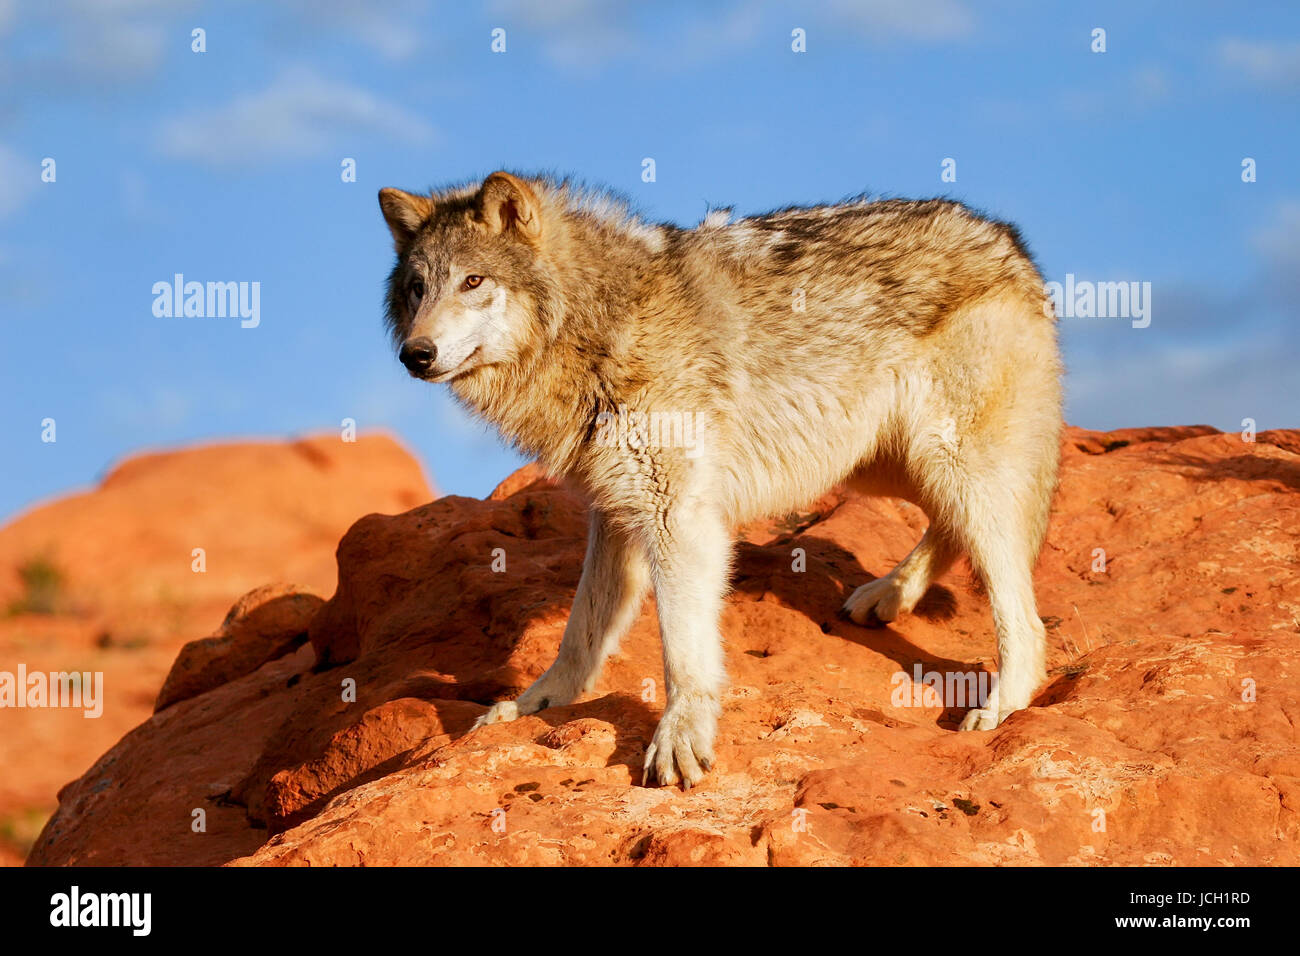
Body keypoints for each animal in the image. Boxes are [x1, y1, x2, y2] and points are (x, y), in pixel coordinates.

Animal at [378, 171, 1062, 788]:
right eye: (417, 288)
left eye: (473, 281)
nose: (415, 354)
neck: (601, 326)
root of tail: (1008, 241)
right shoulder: (617, 514)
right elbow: (580, 633)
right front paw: (535, 705)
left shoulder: (675, 516)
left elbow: (683, 651)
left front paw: (679, 738)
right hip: (881, 463)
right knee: (951, 530)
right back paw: (886, 597)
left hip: (946, 459)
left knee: (1020, 611)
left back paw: (999, 704)